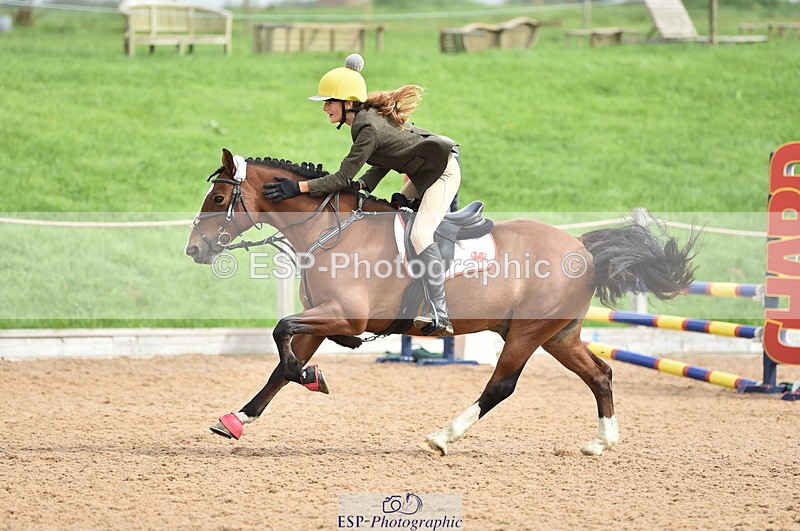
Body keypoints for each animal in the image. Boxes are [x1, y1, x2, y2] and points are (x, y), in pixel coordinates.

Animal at [185, 148, 697, 456]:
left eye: (218, 196)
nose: (194, 249)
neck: (329, 231)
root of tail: (582, 248)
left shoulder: (343, 316)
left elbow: (282, 334)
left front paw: (313, 378)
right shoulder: (321, 319)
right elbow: (280, 364)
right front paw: (237, 419)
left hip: (528, 334)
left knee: (500, 387)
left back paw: (442, 436)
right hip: (559, 335)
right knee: (600, 374)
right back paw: (601, 443)